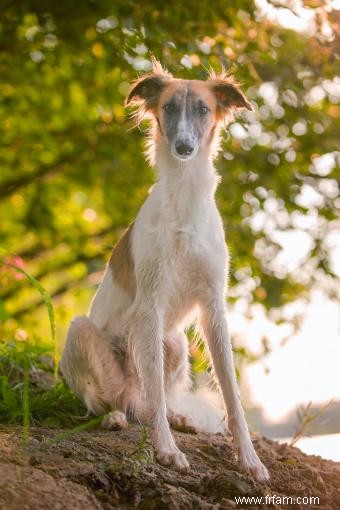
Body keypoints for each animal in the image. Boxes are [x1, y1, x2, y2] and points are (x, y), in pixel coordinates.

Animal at [60, 60, 268, 482]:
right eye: (169, 107)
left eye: (203, 109)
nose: (184, 147)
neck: (185, 199)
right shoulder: (150, 307)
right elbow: (154, 389)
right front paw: (167, 451)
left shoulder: (213, 307)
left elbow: (232, 394)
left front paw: (249, 458)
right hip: (84, 332)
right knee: (114, 401)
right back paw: (115, 418)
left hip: (175, 341)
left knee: (152, 398)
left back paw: (178, 416)